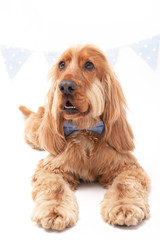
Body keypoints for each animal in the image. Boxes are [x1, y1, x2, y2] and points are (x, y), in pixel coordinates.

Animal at [19, 44, 150, 230]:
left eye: (89, 65)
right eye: (61, 64)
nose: (65, 86)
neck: (84, 129)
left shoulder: (127, 166)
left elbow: (125, 184)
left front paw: (124, 206)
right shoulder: (51, 168)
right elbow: (55, 186)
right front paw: (54, 210)